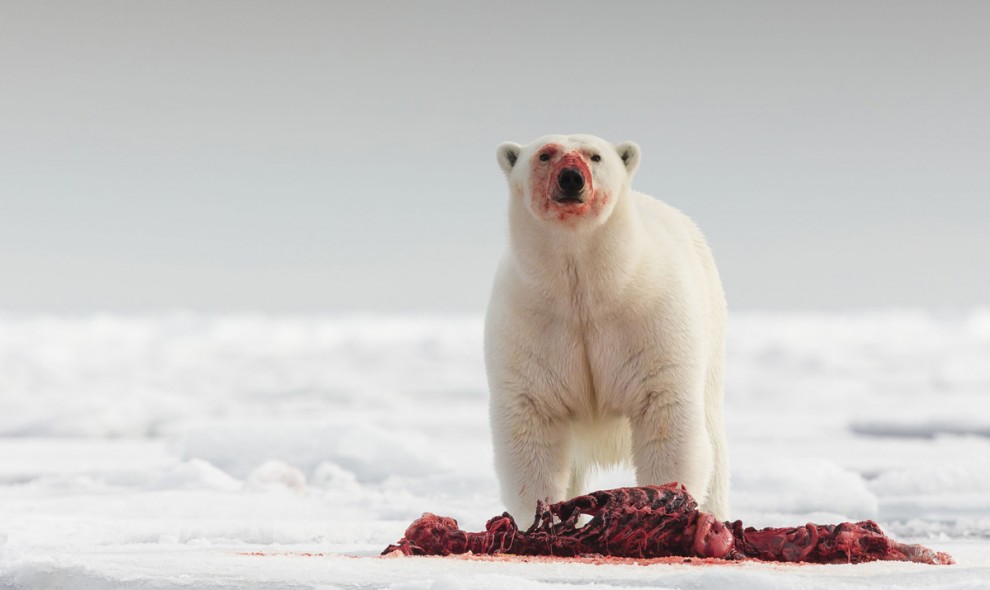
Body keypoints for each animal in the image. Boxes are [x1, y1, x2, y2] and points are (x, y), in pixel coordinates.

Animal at [486, 135, 728, 528]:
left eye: (595, 156)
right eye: (545, 155)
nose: (571, 178)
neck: (585, 292)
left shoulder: (648, 318)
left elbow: (665, 416)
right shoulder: (531, 324)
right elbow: (532, 424)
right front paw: (541, 520)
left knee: (714, 448)